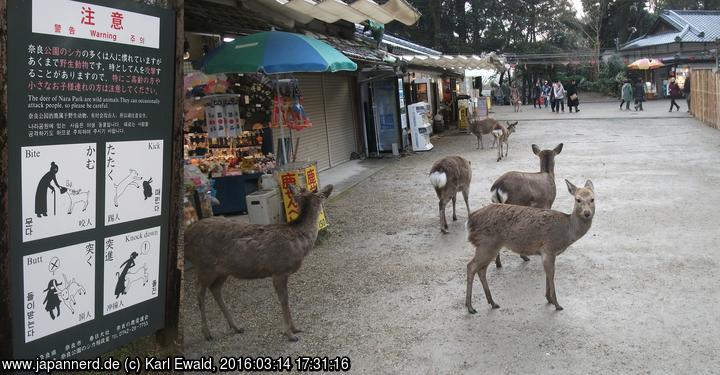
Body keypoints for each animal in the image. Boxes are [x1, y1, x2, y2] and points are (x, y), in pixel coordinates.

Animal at [184, 184, 334, 342]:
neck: (300, 242)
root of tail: (186, 236)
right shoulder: (278, 270)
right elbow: (284, 300)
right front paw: (290, 333)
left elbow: (286, 299)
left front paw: (295, 328)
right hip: (204, 265)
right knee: (199, 290)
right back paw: (207, 333)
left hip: (222, 270)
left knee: (215, 289)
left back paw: (236, 327)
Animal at [464, 179, 592, 314]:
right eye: (578, 199)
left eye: (592, 199)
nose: (587, 213)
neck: (567, 231)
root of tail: (469, 222)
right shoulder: (549, 248)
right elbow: (551, 274)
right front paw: (556, 304)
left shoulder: (545, 252)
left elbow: (547, 274)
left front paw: (549, 298)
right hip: (487, 244)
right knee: (471, 267)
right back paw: (470, 307)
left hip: (489, 246)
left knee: (481, 270)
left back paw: (492, 302)